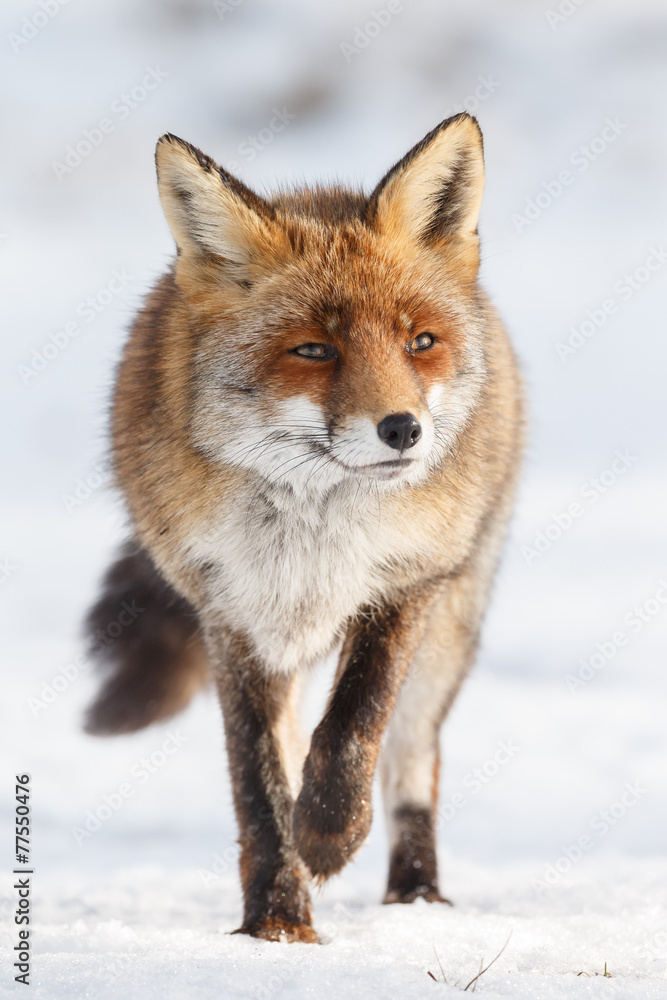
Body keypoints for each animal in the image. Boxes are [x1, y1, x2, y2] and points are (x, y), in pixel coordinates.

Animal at [84, 112, 524, 943]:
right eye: (314, 350)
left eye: (419, 342)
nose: (402, 430)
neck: (313, 538)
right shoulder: (235, 618)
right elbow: (258, 788)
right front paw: (277, 926)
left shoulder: (405, 585)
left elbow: (353, 727)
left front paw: (327, 834)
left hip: (450, 631)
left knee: (412, 762)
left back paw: (417, 896)